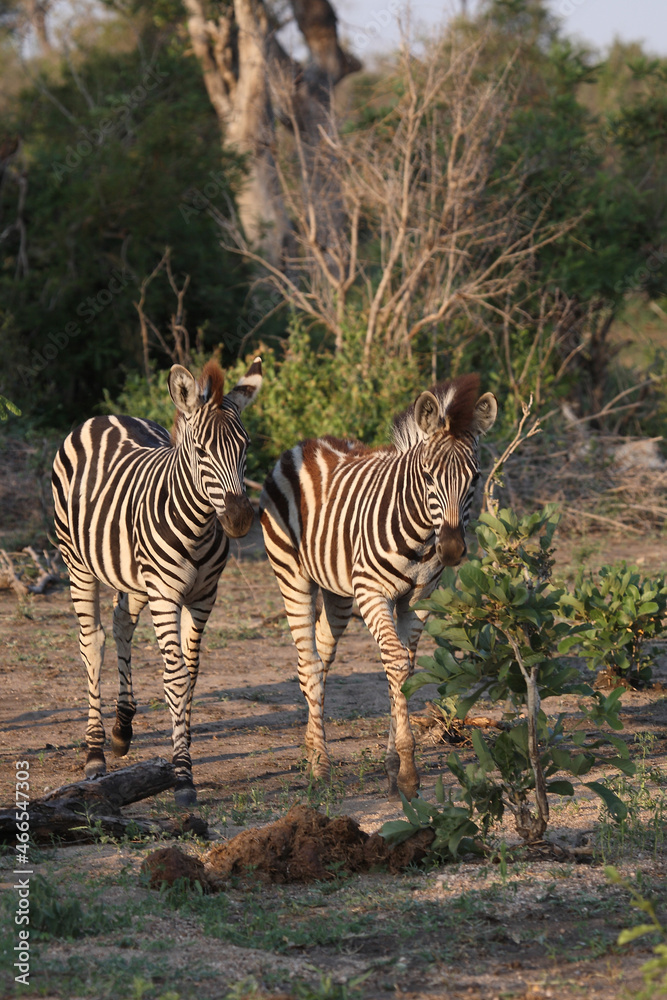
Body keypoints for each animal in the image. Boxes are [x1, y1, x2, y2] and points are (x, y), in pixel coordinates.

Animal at [52, 357, 262, 805]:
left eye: (246, 447)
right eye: (201, 451)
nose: (239, 520)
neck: (198, 525)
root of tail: (104, 416)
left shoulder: (203, 595)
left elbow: (192, 673)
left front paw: (182, 753)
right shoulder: (165, 595)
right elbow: (176, 676)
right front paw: (182, 774)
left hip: (132, 576)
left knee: (121, 624)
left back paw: (122, 728)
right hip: (77, 563)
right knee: (91, 642)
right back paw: (94, 752)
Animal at [260, 374, 497, 800]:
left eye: (474, 477)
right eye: (428, 476)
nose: (452, 549)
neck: (420, 536)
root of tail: (306, 444)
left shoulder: (418, 600)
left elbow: (405, 668)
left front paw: (394, 768)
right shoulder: (373, 594)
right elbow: (396, 663)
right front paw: (408, 771)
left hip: (337, 592)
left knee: (321, 656)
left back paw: (311, 748)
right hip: (292, 574)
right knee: (308, 661)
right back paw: (319, 767)